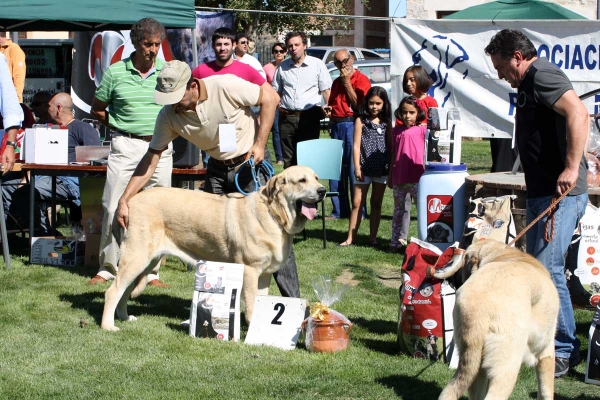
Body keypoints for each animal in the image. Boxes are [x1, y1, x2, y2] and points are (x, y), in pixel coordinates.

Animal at [103, 166, 328, 332]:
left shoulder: (264, 275)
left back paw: (124, 317)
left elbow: (260, 300)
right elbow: (251, 303)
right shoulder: (250, 270)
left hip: (146, 262)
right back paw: (108, 326)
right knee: (113, 291)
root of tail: (129, 201)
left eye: (317, 178)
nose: (322, 191)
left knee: (124, 291)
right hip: (136, 257)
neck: (274, 214)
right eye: (302, 181)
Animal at [428, 239, 560, 400]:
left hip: (474, 367)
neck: (504, 254)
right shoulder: (546, 352)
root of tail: (478, 310)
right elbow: (546, 391)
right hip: (506, 367)